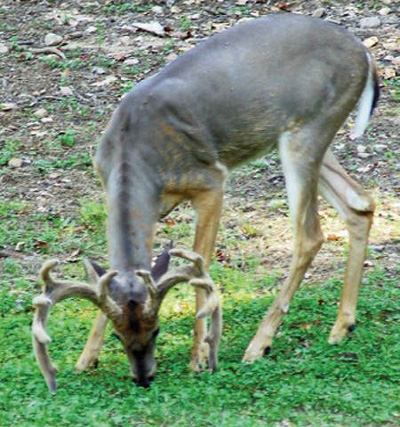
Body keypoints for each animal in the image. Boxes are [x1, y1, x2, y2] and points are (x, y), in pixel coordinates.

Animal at [31, 13, 378, 394]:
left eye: (157, 330)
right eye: (120, 337)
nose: (143, 377)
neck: (133, 153)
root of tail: (364, 54)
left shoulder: (211, 180)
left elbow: (201, 265)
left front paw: (198, 358)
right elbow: (113, 276)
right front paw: (85, 358)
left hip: (307, 133)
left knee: (310, 235)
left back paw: (259, 344)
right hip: (309, 140)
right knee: (359, 203)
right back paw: (342, 326)